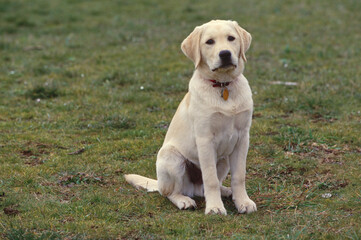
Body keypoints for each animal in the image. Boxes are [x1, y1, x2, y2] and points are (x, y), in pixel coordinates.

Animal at [125, 20, 255, 216]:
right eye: (209, 42)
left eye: (231, 38)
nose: (225, 54)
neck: (222, 86)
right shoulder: (205, 139)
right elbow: (210, 179)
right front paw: (215, 208)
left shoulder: (242, 138)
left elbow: (239, 176)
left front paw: (243, 202)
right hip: (172, 158)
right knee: (171, 193)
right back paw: (184, 201)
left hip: (224, 158)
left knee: (204, 188)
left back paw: (226, 191)